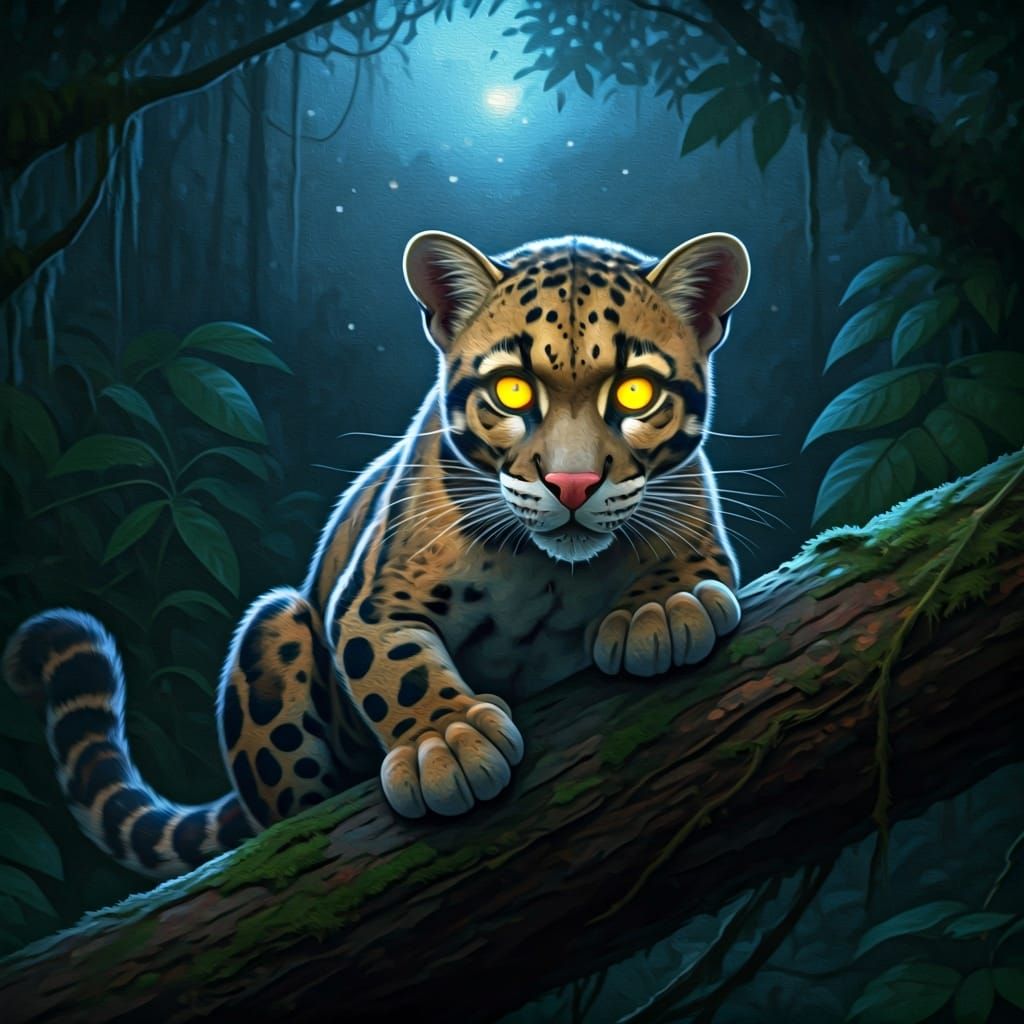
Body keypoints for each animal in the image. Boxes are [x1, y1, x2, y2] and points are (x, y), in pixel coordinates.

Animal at [2, 229, 750, 878]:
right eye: (511, 388)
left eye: (634, 391)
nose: (571, 484)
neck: (552, 571)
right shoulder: (370, 598)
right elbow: (396, 670)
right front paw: (445, 742)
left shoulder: (698, 520)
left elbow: (690, 561)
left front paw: (665, 606)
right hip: (274, 624)